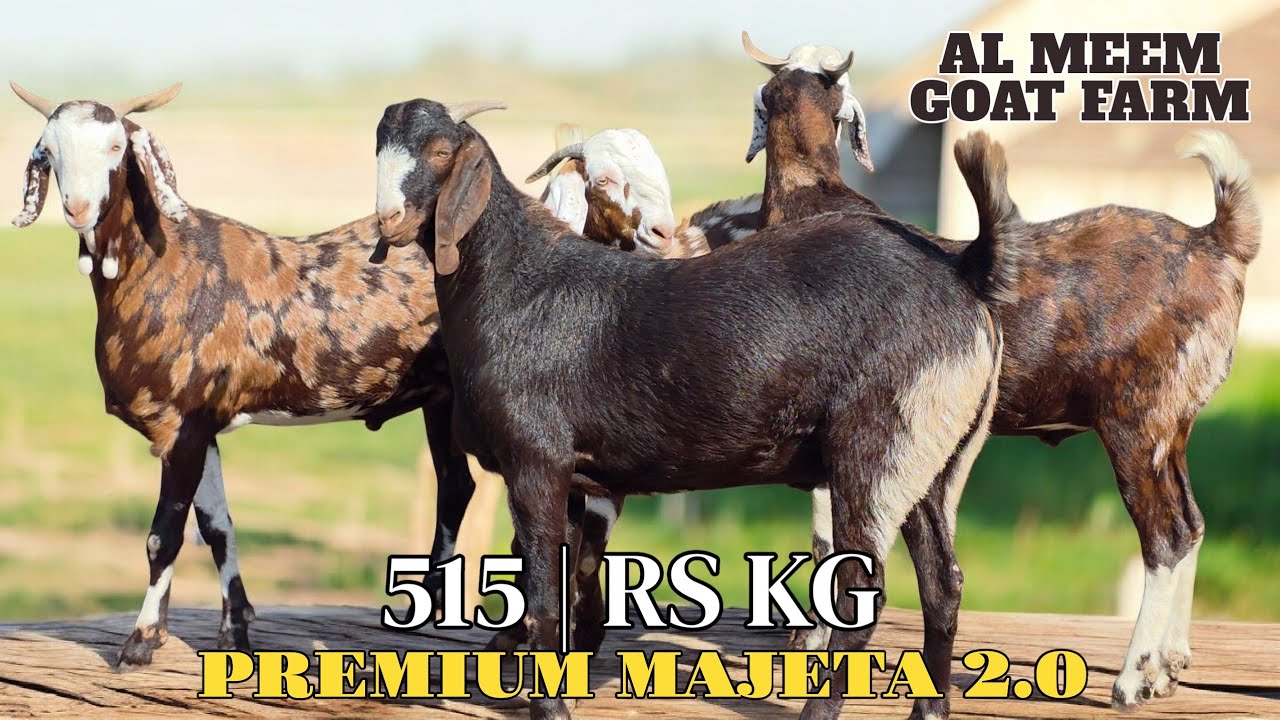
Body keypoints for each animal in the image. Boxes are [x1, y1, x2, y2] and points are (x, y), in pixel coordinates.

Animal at [8, 84, 499, 669]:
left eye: (115, 147)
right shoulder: (203, 425)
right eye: (50, 151)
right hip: (439, 399)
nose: (78, 209)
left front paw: (142, 640)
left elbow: (164, 534)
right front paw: (233, 630)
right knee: (456, 485)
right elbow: (216, 526)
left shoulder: (181, 425)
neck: (165, 265)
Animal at [373, 97, 1025, 720]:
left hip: (877, 449)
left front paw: (550, 706)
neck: (513, 280)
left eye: (440, 151)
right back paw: (929, 708)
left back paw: (819, 711)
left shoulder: (536, 460)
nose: (388, 220)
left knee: (860, 592)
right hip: (931, 458)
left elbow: (543, 596)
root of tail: (966, 273)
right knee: (943, 584)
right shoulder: (580, 477)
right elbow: (575, 578)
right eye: (380, 147)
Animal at [737, 34, 1263, 709]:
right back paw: (1168, 667)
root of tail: (1215, 239)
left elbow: (827, 537)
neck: (810, 195)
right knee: (1193, 524)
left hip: (1136, 420)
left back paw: (1130, 680)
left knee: (1165, 536)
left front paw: (812, 646)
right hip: (1175, 427)